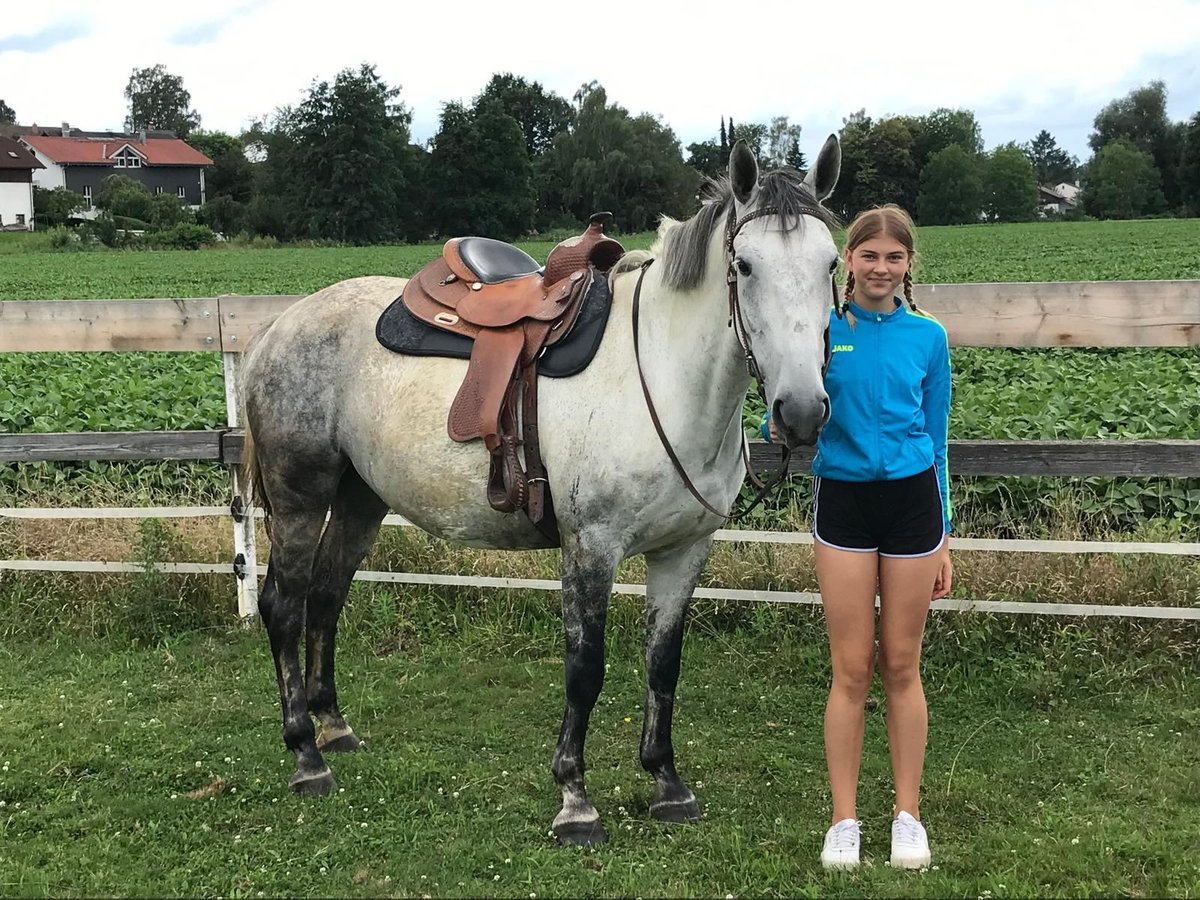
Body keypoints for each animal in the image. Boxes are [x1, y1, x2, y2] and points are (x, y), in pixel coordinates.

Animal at [241, 137, 844, 849]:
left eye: (831, 263)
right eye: (745, 266)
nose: (801, 411)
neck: (663, 377)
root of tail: (279, 327)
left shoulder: (684, 550)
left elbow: (663, 663)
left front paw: (666, 782)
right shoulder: (591, 548)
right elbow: (585, 669)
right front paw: (575, 799)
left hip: (361, 499)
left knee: (327, 596)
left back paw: (333, 728)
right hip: (300, 499)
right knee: (284, 605)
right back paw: (306, 754)